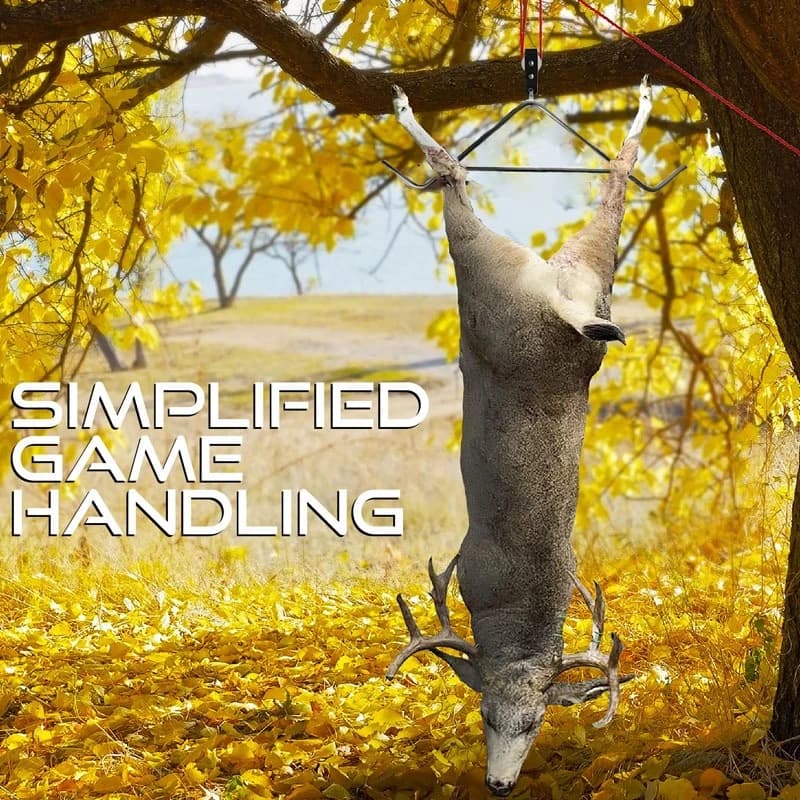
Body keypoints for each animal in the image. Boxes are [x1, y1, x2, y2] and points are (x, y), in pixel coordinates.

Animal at [386, 77, 654, 796]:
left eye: (534, 723)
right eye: (484, 715)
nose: (499, 783)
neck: (516, 610)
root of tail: (558, 313)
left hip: (500, 280)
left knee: (459, 177)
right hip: (552, 274)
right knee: (600, 183)